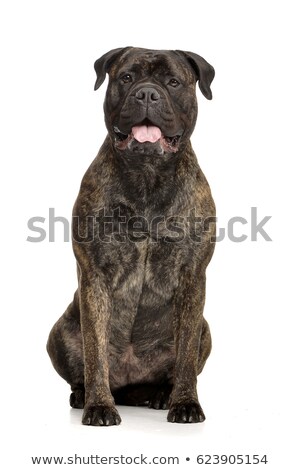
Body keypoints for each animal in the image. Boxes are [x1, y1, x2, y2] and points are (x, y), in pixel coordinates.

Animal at [47, 47, 216, 426]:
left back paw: (163, 395)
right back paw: (83, 396)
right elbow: (95, 352)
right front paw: (99, 406)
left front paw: (186, 403)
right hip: (59, 333)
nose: (147, 93)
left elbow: (185, 357)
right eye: (126, 78)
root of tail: (131, 388)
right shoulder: (95, 274)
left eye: (173, 82)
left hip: (205, 331)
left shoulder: (192, 276)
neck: (148, 174)